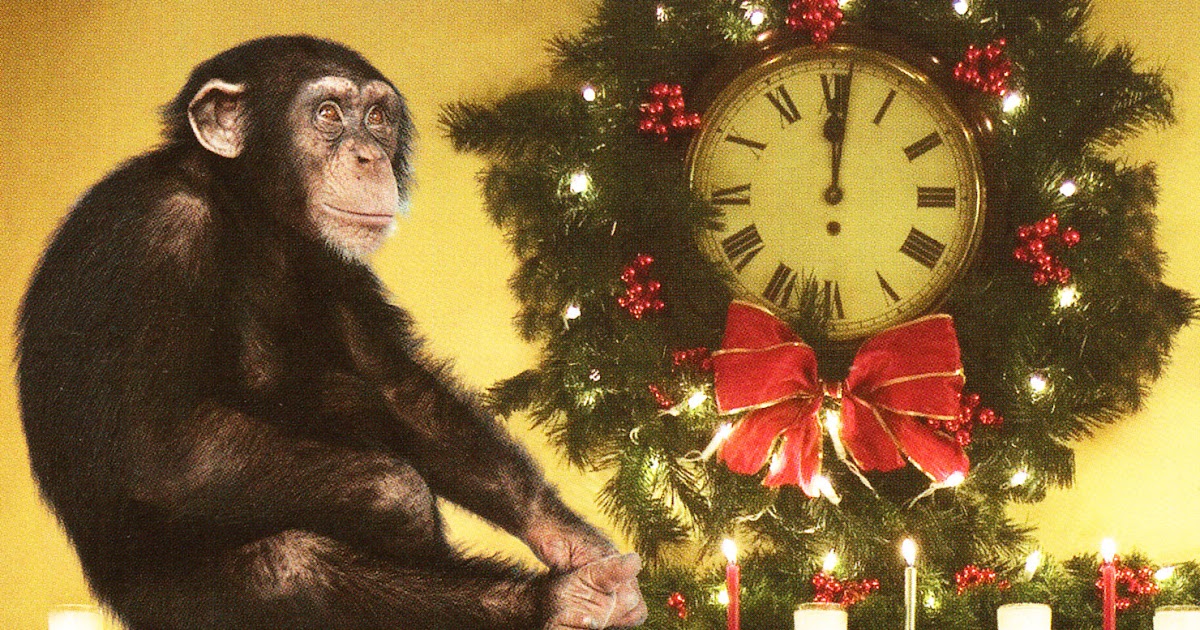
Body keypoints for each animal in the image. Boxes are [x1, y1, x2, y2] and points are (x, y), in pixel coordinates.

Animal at [17, 35, 647, 630]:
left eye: (376, 116)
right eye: (327, 113)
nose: (369, 154)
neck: (248, 211)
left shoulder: (338, 263)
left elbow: (397, 388)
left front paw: (569, 537)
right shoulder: (160, 236)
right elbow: (158, 448)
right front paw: (405, 503)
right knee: (293, 570)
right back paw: (555, 601)